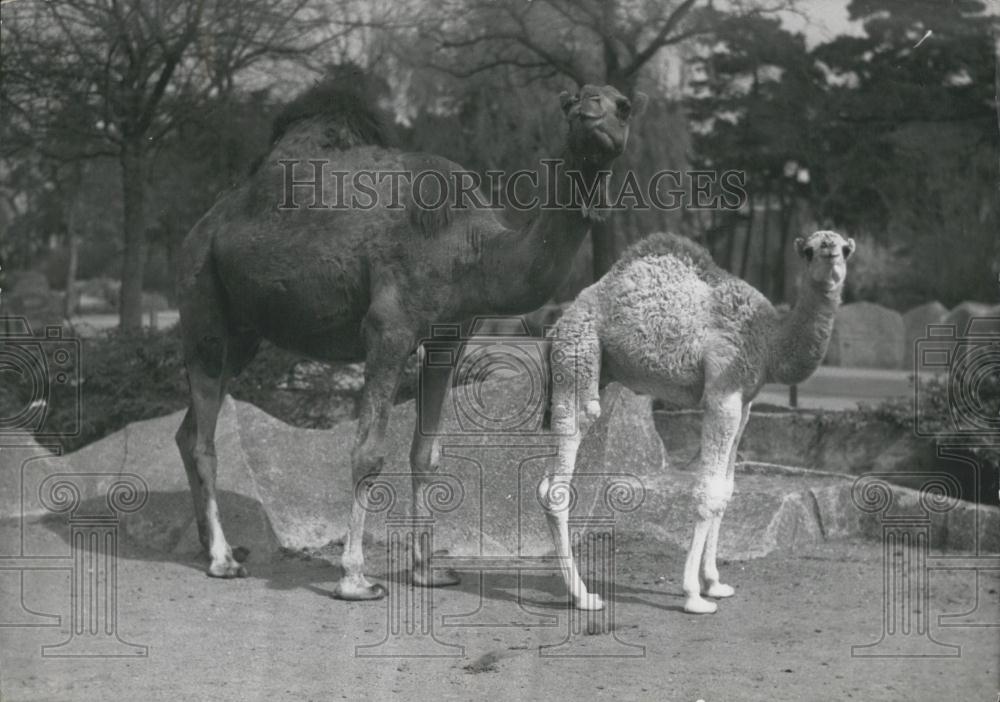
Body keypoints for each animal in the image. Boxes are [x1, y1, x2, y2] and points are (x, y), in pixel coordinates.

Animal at [544, 232, 856, 616]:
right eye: (809, 250)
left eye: (844, 248)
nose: (829, 252)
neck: (769, 341)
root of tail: (562, 319)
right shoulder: (723, 392)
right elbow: (707, 494)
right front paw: (693, 595)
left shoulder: (745, 402)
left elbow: (725, 491)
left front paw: (714, 583)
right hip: (578, 352)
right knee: (561, 474)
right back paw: (584, 596)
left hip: (595, 364)